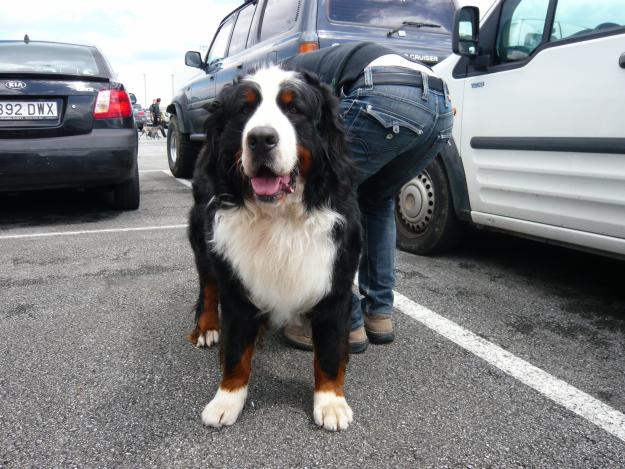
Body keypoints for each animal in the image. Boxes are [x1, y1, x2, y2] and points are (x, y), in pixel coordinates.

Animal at [186, 66, 360, 432]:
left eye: (293, 109)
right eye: (244, 110)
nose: (261, 139)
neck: (280, 218)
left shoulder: (335, 282)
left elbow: (329, 353)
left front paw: (331, 402)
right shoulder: (236, 285)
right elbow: (236, 350)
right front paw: (227, 399)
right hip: (204, 237)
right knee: (208, 285)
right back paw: (207, 327)